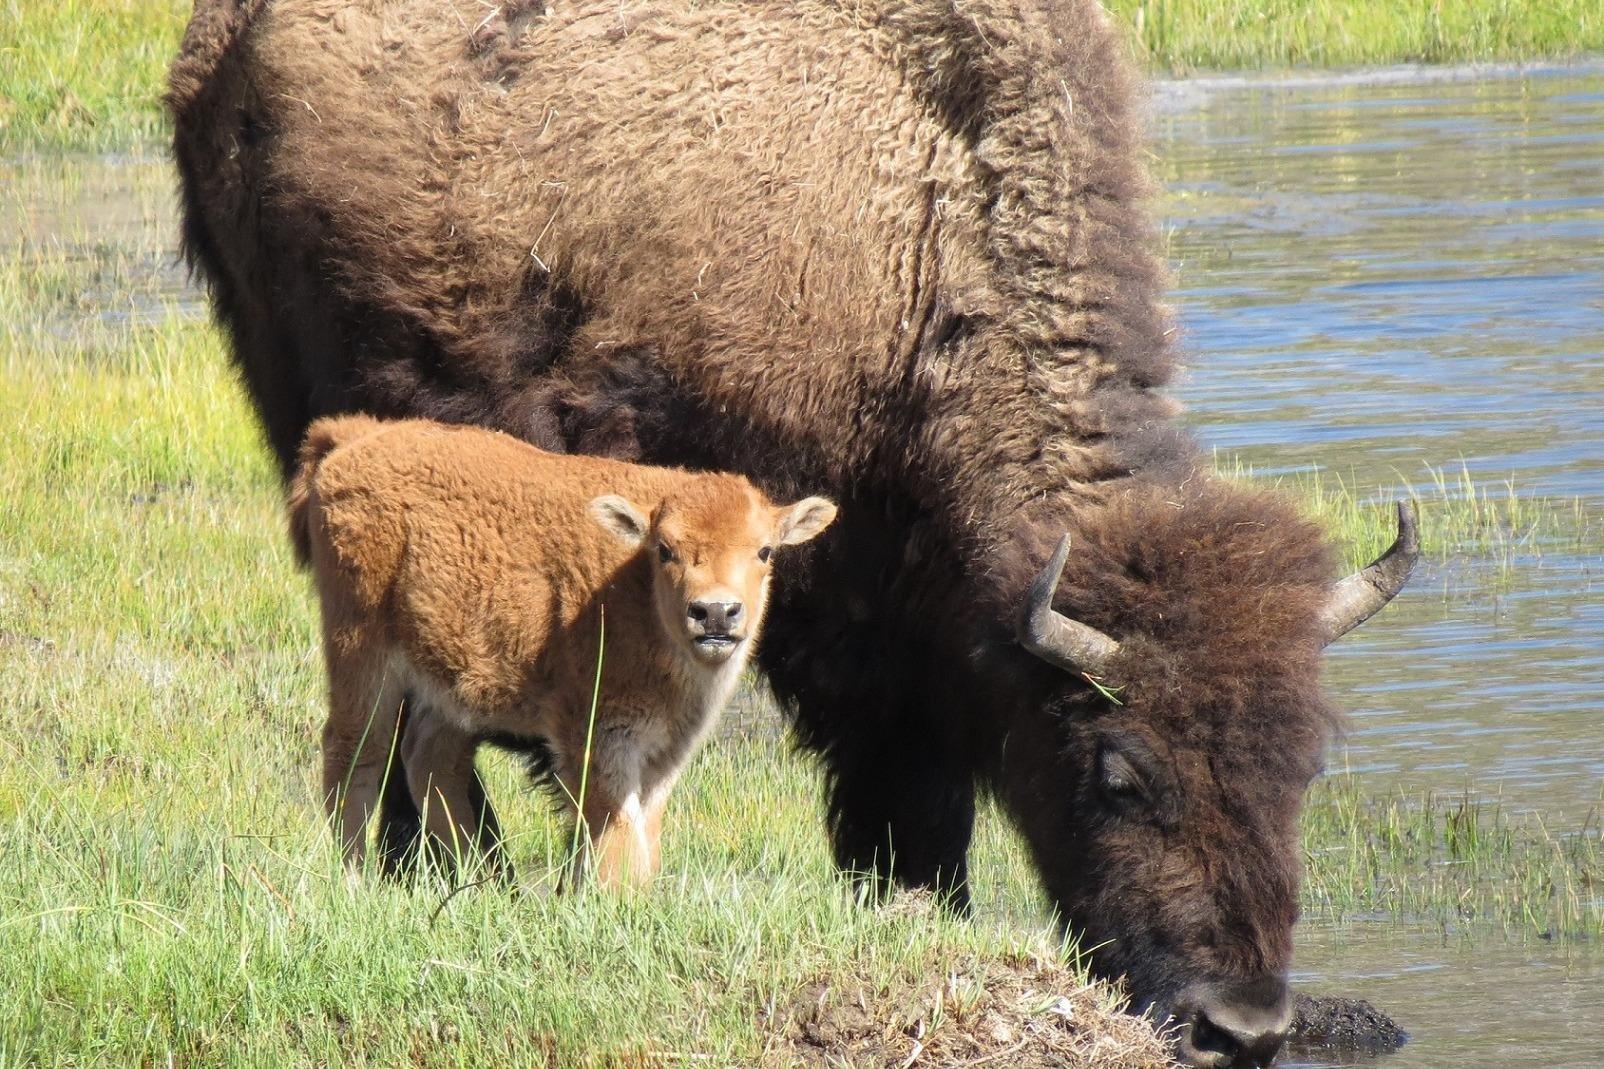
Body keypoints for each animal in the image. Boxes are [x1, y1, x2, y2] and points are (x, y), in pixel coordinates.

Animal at [291, 414, 840, 879]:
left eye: (764, 551)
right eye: (665, 550)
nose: (716, 613)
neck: (635, 589)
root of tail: (356, 439)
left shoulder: (665, 751)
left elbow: (643, 836)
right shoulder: (597, 740)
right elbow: (615, 836)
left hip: (448, 681)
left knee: (430, 759)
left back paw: (487, 882)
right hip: (359, 650)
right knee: (355, 754)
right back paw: (353, 880)